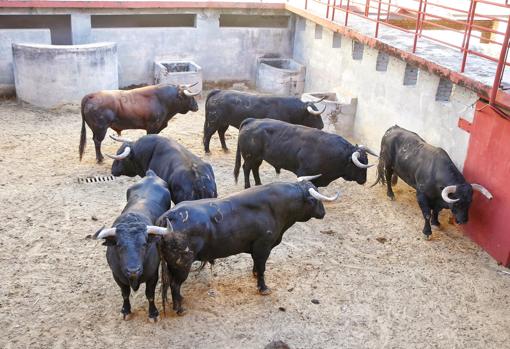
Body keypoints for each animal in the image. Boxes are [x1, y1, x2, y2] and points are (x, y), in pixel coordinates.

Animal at [89, 169, 171, 320]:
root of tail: (150, 175)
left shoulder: (153, 275)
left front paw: (153, 313)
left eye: (144, 244)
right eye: (119, 245)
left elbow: (150, 295)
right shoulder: (117, 276)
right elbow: (125, 294)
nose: (133, 270)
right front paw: (126, 310)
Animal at [155, 178, 338, 314]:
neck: (277, 207)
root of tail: (168, 217)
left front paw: (255, 275)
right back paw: (179, 309)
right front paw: (263, 288)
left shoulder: (256, 249)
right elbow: (262, 267)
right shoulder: (263, 246)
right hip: (182, 265)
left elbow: (257, 265)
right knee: (175, 285)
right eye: (315, 200)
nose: (323, 213)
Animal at [233, 117, 376, 189]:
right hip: (249, 157)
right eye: (359, 165)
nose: (364, 180)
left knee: (255, 168)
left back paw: (258, 184)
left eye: (367, 160)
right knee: (246, 168)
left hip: (258, 158)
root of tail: (252, 120)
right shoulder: (304, 173)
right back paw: (247, 186)